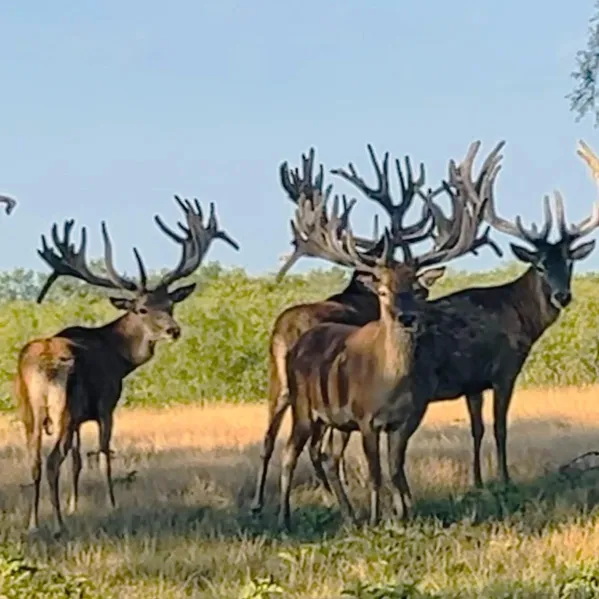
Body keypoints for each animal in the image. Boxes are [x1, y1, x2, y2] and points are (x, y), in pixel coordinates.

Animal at [15, 197, 239, 536]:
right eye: (142, 309)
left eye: (170, 305)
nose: (173, 330)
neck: (118, 358)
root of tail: (43, 361)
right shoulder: (106, 403)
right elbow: (104, 453)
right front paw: (110, 504)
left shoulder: (79, 417)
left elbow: (78, 461)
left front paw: (75, 505)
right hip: (63, 407)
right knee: (53, 460)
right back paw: (57, 525)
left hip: (29, 410)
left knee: (35, 461)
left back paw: (33, 523)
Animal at [250, 142, 503, 515]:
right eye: (383, 289)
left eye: (416, 288)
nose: (407, 316)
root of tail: (285, 330)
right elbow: (371, 466)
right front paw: (386, 511)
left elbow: (388, 465)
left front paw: (401, 509)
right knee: (308, 448)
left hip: (278, 386)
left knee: (271, 439)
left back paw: (265, 504)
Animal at [316, 139, 599, 492]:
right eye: (540, 265)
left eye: (569, 262)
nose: (563, 295)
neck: (519, 315)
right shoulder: (504, 370)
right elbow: (500, 428)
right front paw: (504, 479)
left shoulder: (473, 382)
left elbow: (476, 429)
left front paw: (477, 481)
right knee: (328, 451)